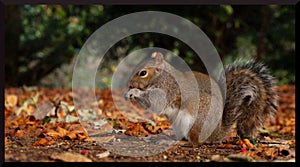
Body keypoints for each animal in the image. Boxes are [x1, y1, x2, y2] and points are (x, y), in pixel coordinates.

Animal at [123, 51, 278, 145]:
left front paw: (135, 92)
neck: (162, 76)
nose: (129, 84)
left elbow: (156, 104)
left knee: (194, 142)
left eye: (143, 73)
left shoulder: (168, 89)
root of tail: (216, 134)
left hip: (194, 118)